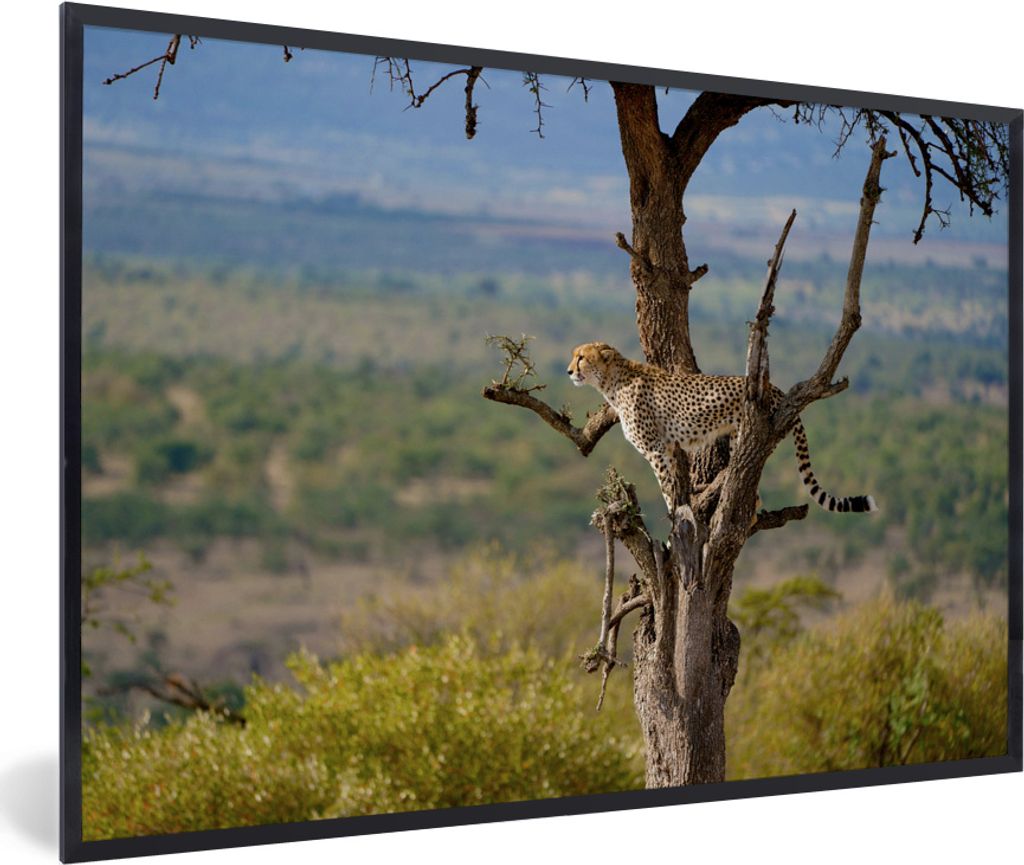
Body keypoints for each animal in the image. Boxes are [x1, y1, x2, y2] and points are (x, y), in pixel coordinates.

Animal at [567, 341, 877, 516]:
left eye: (582, 357)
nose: (569, 371)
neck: (612, 380)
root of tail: (775, 388)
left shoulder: (655, 449)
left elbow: (666, 488)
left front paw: (673, 524)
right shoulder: (668, 448)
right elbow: (674, 486)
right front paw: (681, 511)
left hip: (749, 435)